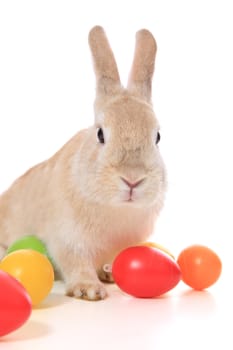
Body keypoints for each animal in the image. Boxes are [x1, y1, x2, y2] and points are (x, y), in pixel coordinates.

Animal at [0, 26, 167, 300]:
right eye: (100, 134)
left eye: (157, 137)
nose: (132, 179)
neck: (116, 207)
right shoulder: (67, 239)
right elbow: (75, 263)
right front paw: (89, 290)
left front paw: (109, 275)